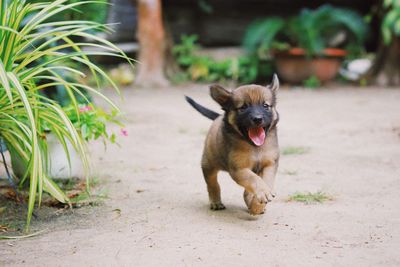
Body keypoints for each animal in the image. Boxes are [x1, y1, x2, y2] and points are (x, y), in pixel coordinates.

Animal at [184, 75, 278, 216]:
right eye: (243, 108)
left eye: (265, 106)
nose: (257, 119)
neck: (255, 147)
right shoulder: (239, 169)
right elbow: (253, 179)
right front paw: (261, 194)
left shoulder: (269, 164)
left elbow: (266, 180)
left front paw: (257, 204)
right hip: (208, 164)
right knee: (212, 184)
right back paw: (216, 202)